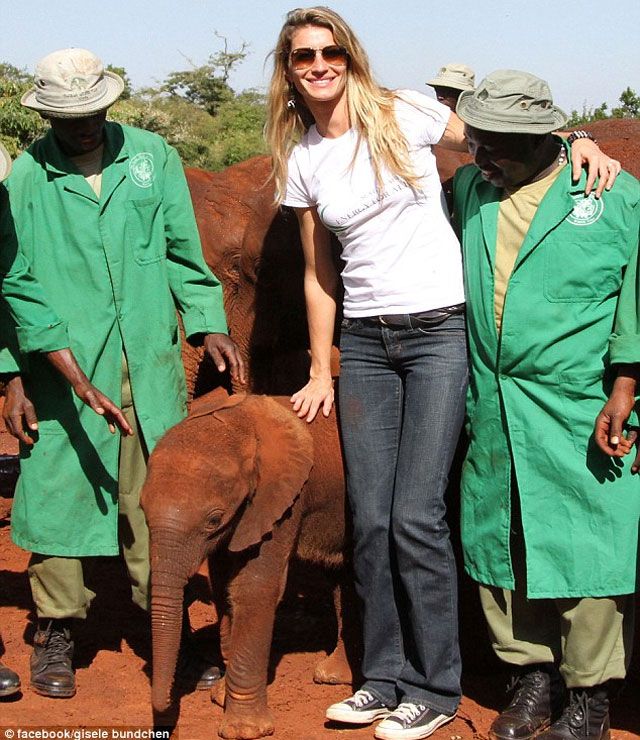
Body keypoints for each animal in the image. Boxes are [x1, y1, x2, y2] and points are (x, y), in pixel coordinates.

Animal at [141, 390, 350, 736]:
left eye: (214, 519)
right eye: (142, 510)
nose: (165, 707)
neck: (241, 426)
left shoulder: (282, 501)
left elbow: (253, 588)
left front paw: (244, 730)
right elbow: (224, 583)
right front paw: (219, 696)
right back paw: (335, 675)